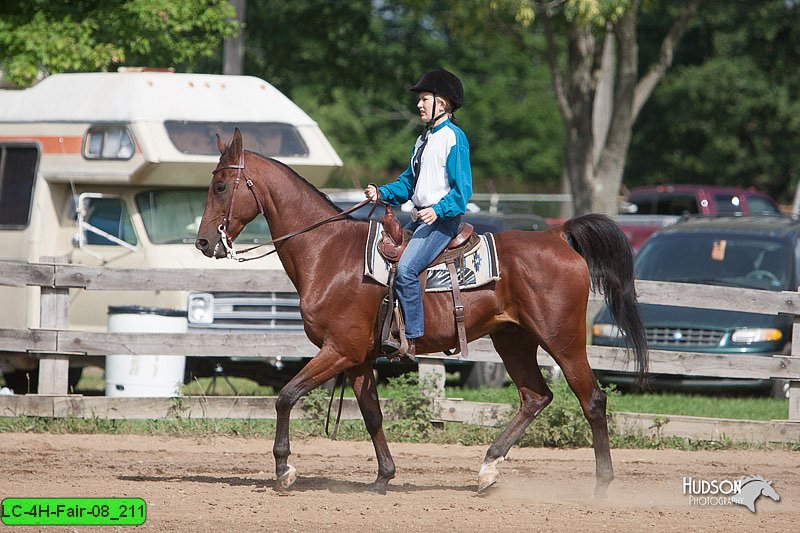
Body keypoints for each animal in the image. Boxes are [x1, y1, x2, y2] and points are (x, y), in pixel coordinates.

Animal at [195, 129, 648, 498]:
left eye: (220, 185)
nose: (203, 242)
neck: (327, 252)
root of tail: (556, 235)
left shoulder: (338, 350)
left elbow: (286, 396)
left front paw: (284, 470)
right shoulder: (358, 359)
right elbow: (372, 415)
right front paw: (383, 477)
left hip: (563, 341)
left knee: (592, 400)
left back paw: (601, 485)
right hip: (513, 339)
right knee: (535, 396)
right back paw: (488, 469)